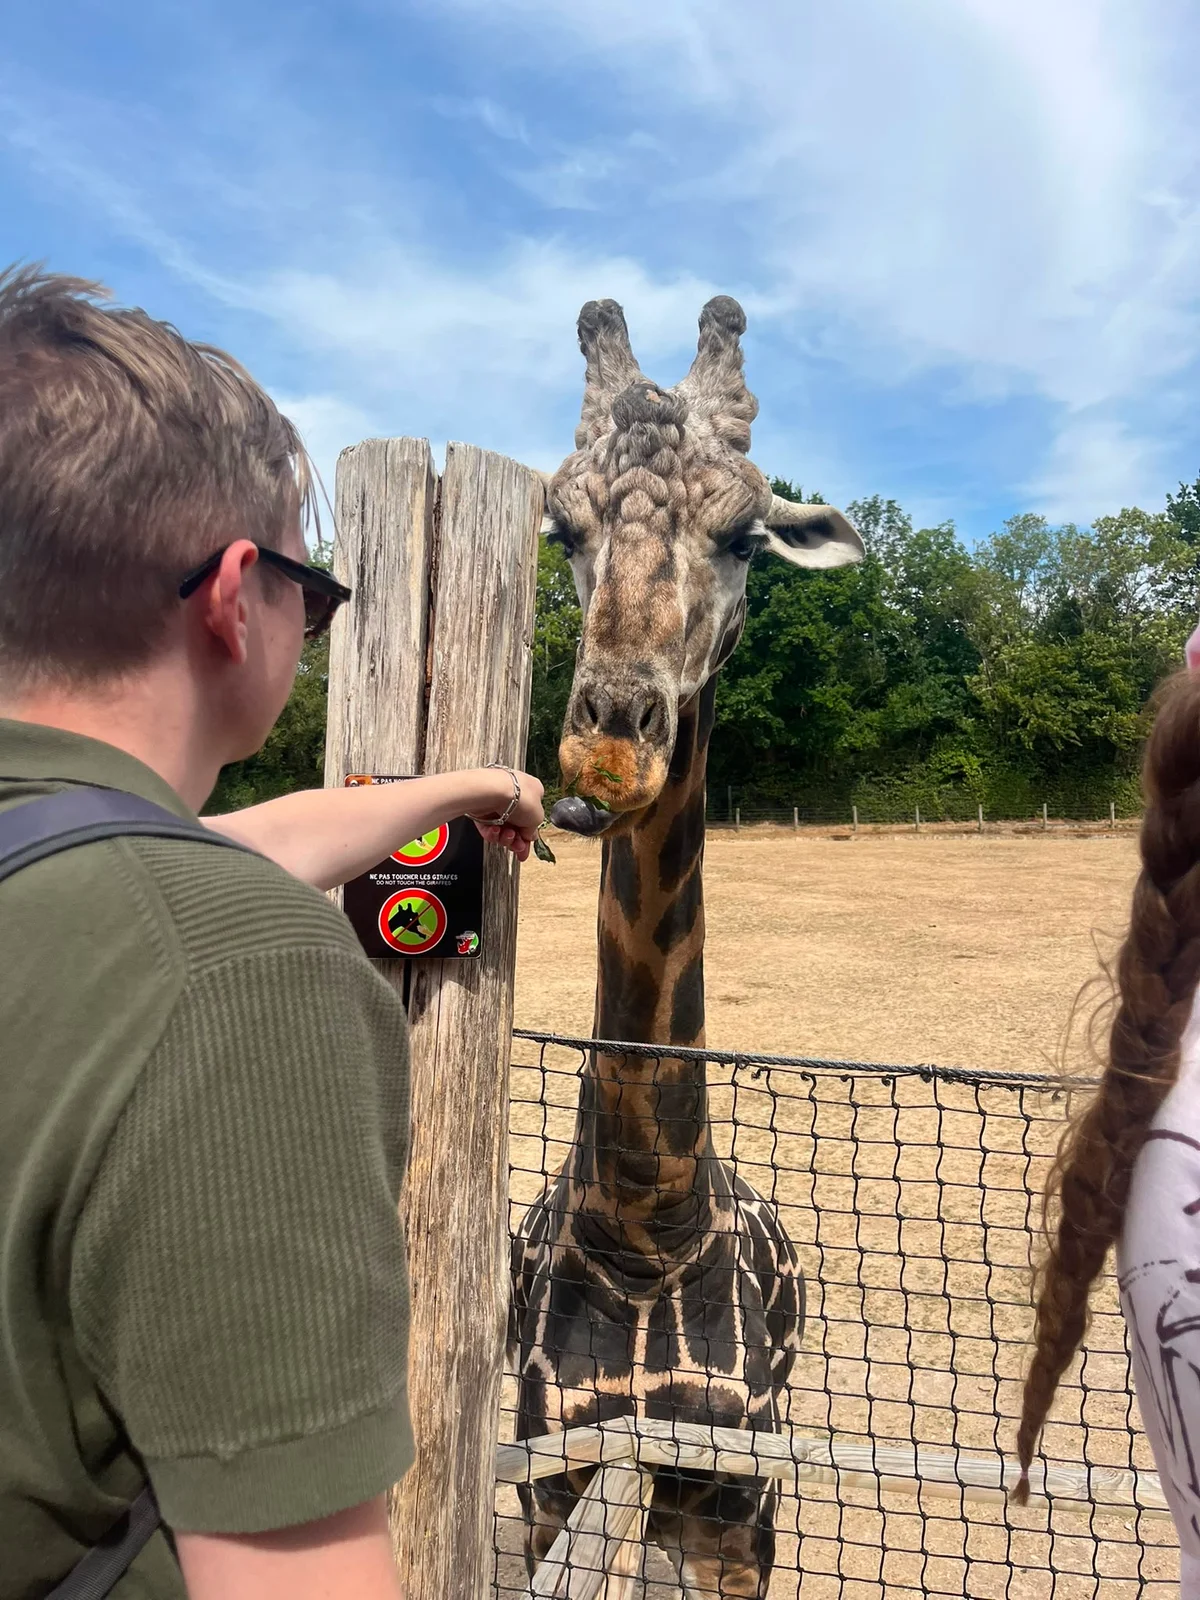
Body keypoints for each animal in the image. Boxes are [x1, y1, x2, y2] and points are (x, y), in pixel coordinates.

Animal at [509, 296, 864, 1598]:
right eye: (563, 529)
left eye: (748, 539)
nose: (618, 726)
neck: (649, 1226)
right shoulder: (550, 1486)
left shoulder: (737, 1507)